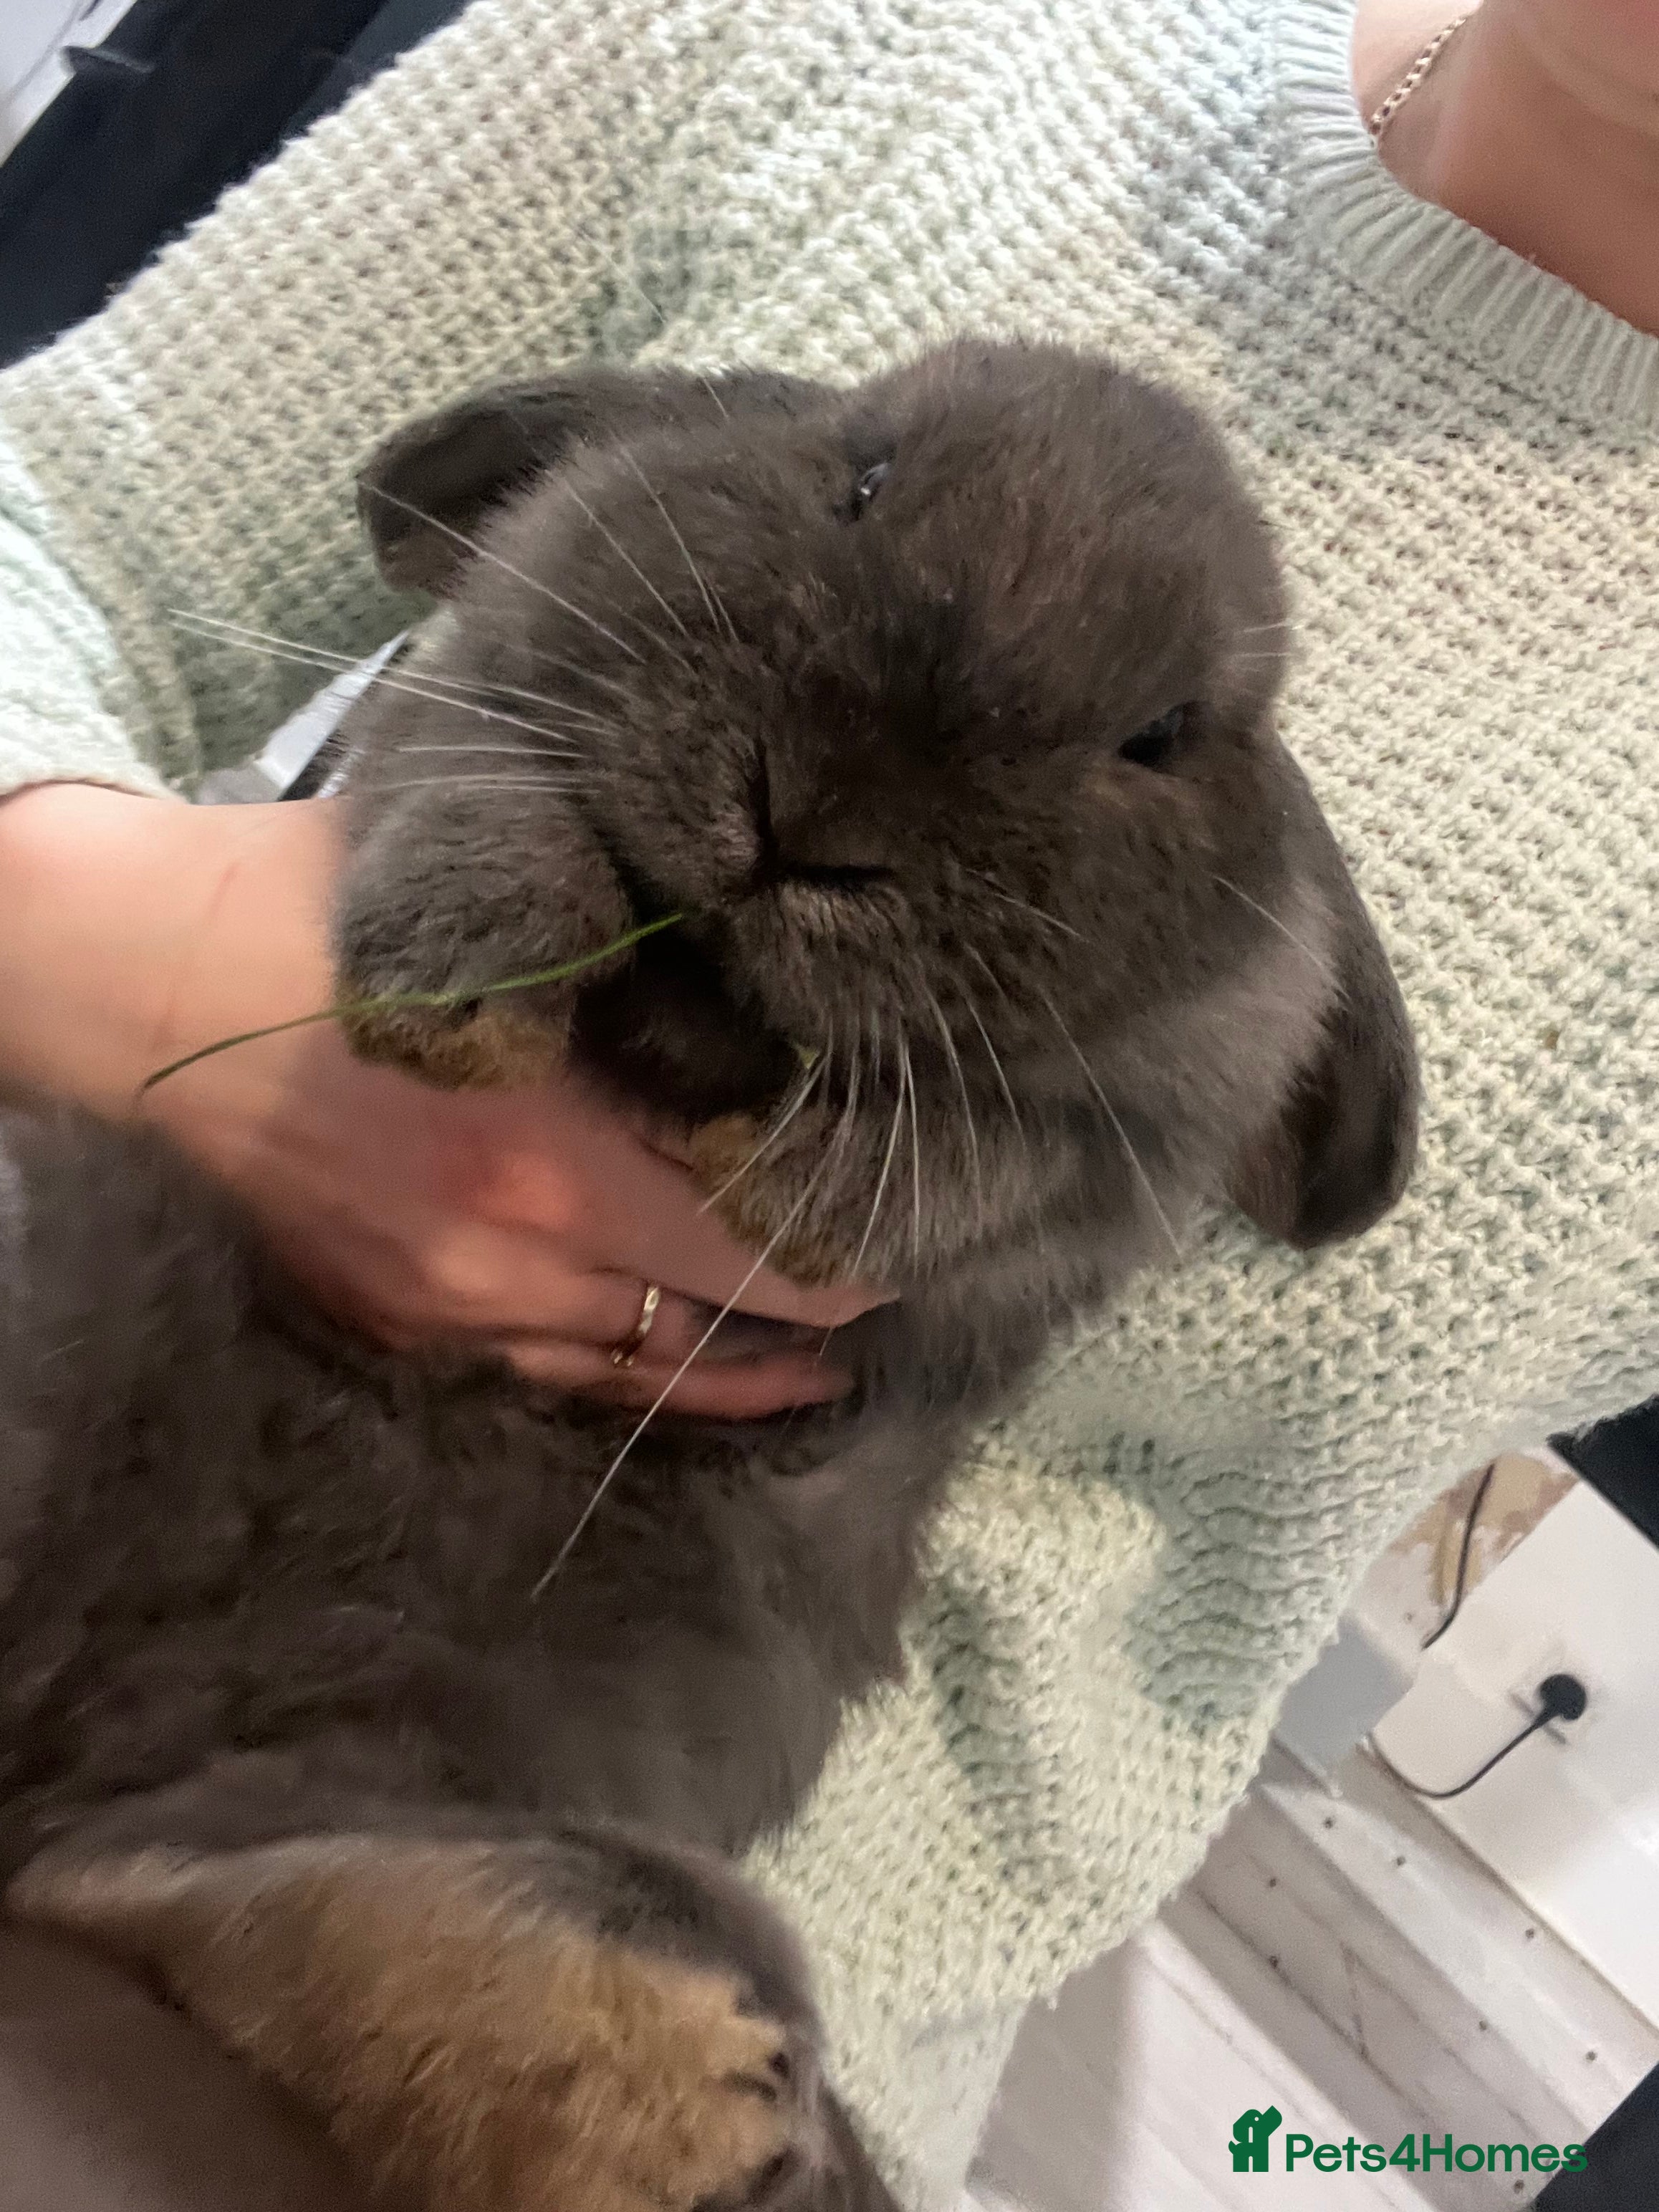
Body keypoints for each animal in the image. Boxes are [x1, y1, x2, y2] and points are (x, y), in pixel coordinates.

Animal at [0, 337, 1417, 2212]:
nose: (811, 823)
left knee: (186, 1889)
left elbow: (1010, 1156)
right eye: (859, 476)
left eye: (1161, 734)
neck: (680, 1035)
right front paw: (456, 985)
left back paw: (701, 2092)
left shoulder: (1123, 1142)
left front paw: (812, 1192)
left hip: (404, 1745)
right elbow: (479, 773)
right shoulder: (456, 717)